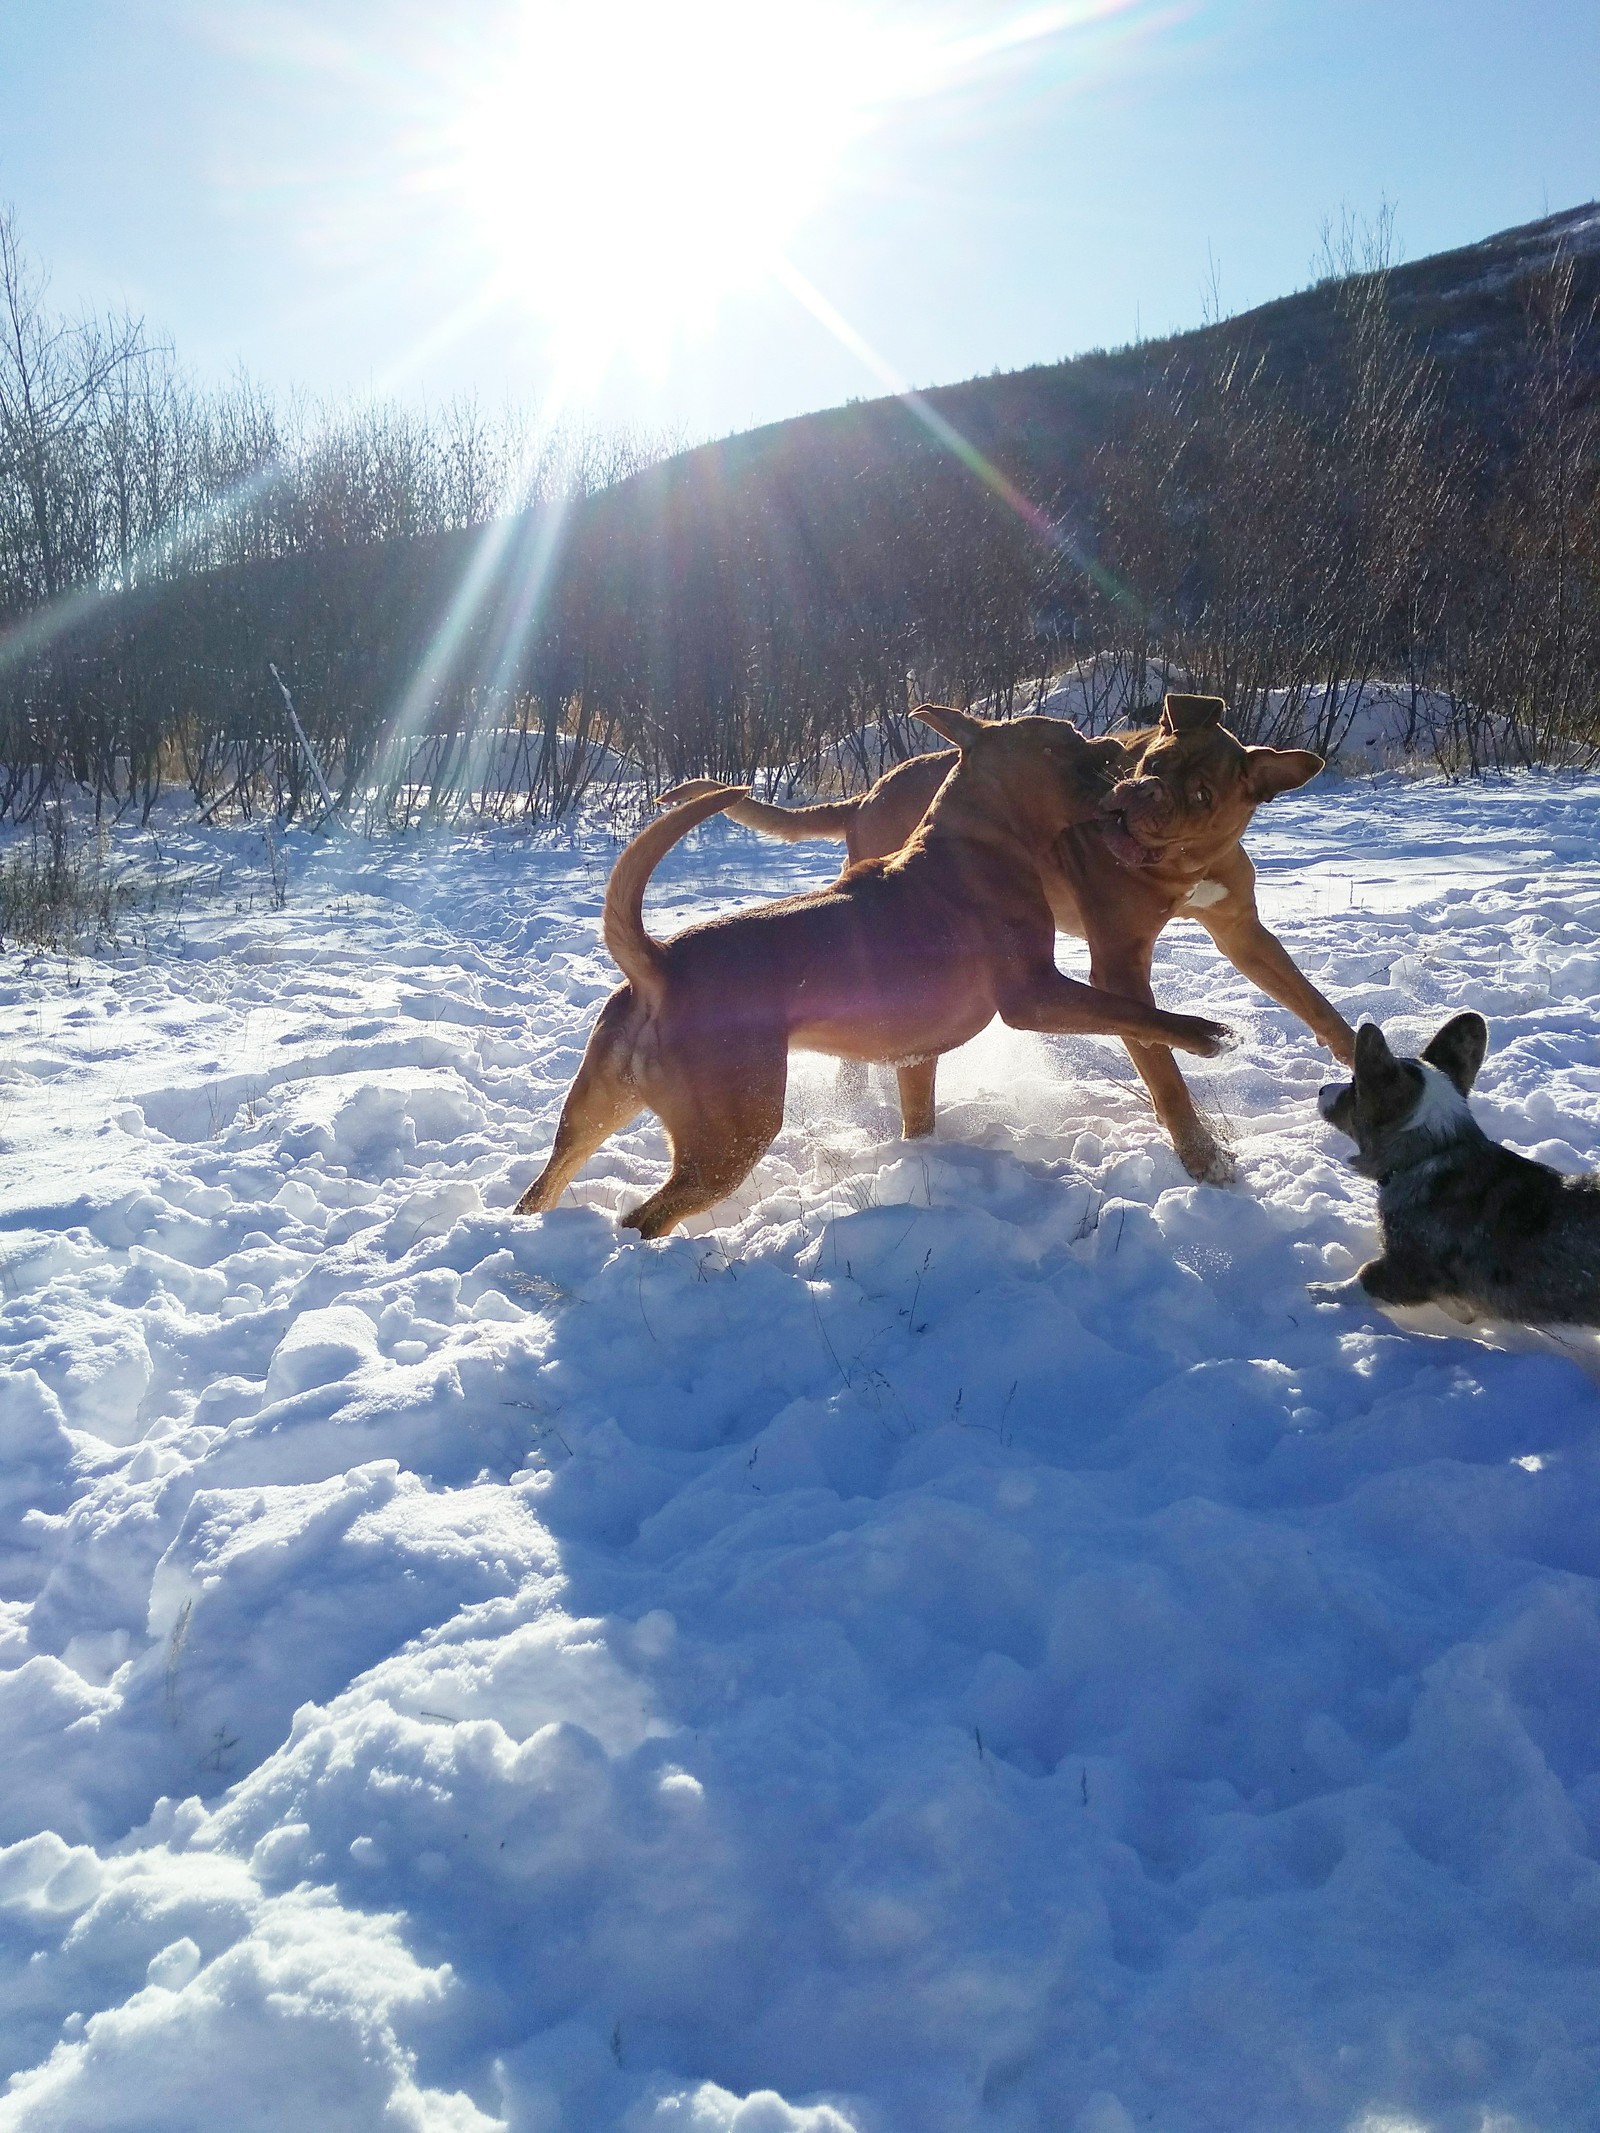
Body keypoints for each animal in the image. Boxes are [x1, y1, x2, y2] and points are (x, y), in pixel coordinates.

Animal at [520, 708, 1237, 1237]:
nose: (1118, 743)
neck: (978, 838)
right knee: (645, 1218)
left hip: (591, 1115)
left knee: (545, 1187)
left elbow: (919, 1117)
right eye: (1066, 738)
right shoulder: (1032, 997)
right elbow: (1132, 1012)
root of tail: (659, 964)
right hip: (733, 1134)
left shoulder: (916, 1055)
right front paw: (1201, 1034)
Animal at [665, 691, 1356, 1185]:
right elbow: (1161, 1063)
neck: (1180, 864)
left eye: (1202, 793)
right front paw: (1199, 1151)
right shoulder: (1117, 966)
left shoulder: (1243, 933)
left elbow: (1315, 1004)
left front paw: (1363, 1061)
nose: (1138, 792)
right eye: (1154, 762)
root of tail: (863, 795)